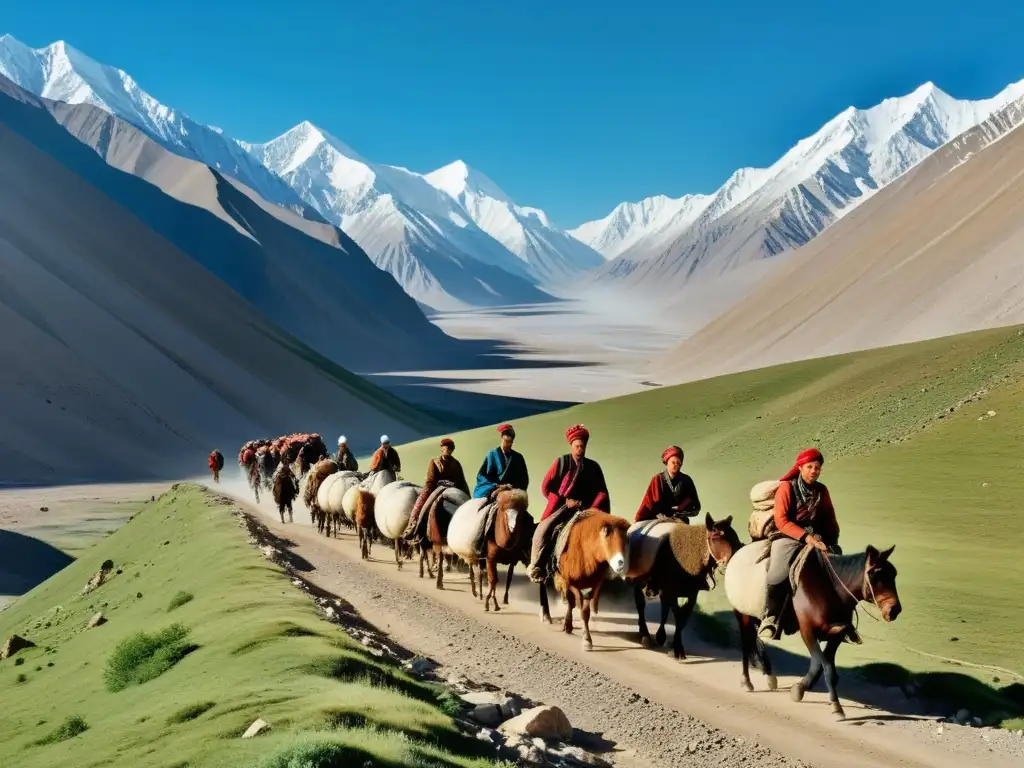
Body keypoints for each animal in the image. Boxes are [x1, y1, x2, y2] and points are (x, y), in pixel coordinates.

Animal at [724, 544, 901, 720]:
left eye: (893, 575)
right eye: (875, 576)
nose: (895, 610)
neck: (830, 589)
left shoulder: (837, 634)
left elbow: (821, 664)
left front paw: (800, 688)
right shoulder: (808, 631)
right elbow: (825, 666)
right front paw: (836, 706)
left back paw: (769, 676)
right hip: (742, 615)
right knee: (746, 643)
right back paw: (747, 681)